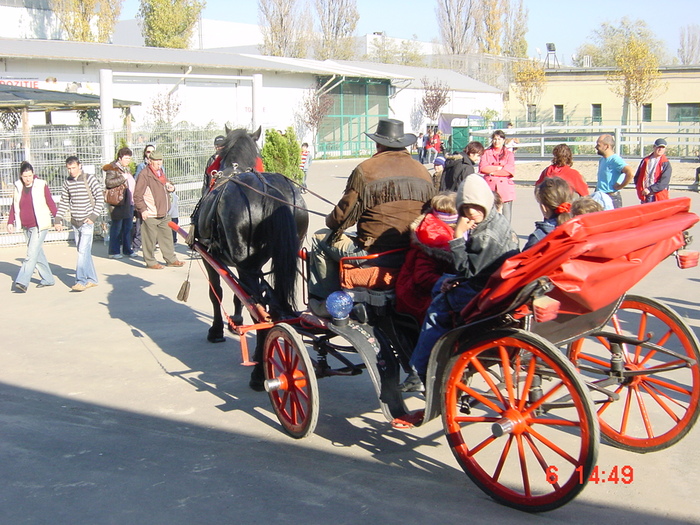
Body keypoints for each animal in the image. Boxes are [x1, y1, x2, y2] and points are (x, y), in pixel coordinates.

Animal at [194, 126, 308, 386]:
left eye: (213, 160)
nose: (208, 177)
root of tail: (274, 191)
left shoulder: (210, 257)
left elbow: (216, 293)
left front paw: (216, 330)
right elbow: (237, 296)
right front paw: (235, 320)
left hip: (247, 265)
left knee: (261, 312)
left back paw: (260, 373)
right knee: (270, 306)